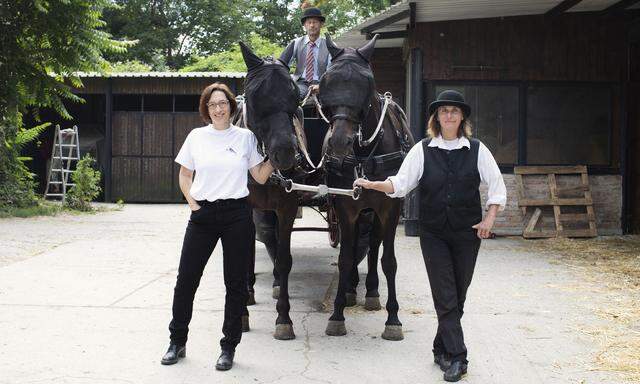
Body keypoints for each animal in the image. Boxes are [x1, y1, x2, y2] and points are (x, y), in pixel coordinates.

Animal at [318, 33, 416, 340]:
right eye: (327, 81)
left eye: (367, 83)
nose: (339, 142)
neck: (365, 154)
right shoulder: (346, 207)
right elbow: (345, 257)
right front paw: (337, 314)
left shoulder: (390, 208)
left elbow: (388, 260)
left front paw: (393, 319)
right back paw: (351, 290)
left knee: (373, 246)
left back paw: (371, 291)